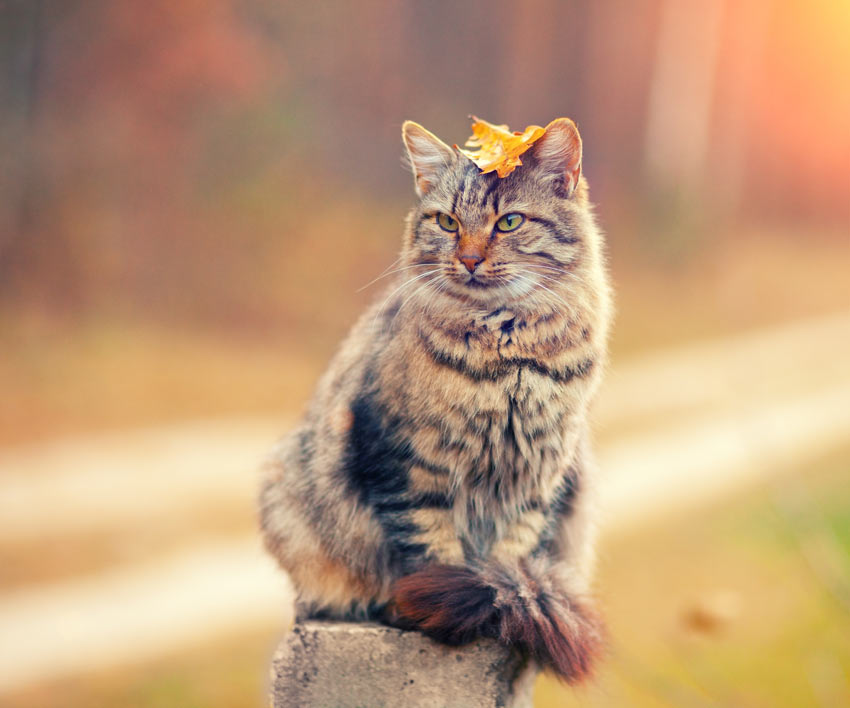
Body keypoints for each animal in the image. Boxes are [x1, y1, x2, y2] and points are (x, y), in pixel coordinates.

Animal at [258, 119, 608, 684]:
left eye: (509, 222)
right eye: (447, 222)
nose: (468, 258)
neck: (505, 355)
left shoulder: (541, 475)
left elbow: (510, 554)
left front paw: (495, 610)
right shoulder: (404, 461)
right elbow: (431, 552)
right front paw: (440, 611)